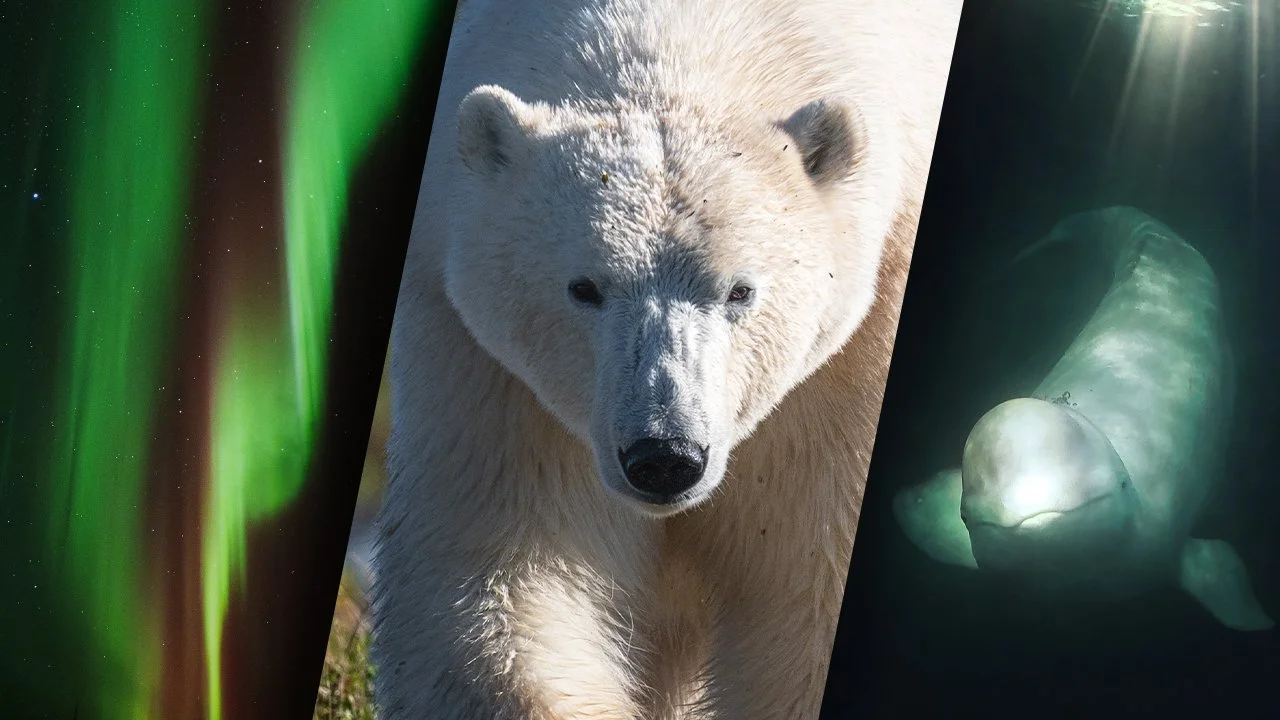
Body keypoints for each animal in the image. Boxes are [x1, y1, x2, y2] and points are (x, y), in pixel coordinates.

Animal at [371, 0, 962, 718]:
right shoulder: (483, 358)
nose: (665, 458)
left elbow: (809, 589)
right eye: (585, 287)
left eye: (740, 289)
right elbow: (500, 577)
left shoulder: (853, 355)